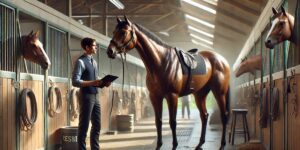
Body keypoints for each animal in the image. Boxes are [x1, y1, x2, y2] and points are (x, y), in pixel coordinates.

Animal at [106, 16, 231, 149]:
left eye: (123, 32)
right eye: (113, 32)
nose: (110, 51)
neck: (161, 62)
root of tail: (222, 60)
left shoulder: (172, 96)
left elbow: (172, 122)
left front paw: (174, 145)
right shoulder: (155, 97)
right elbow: (158, 121)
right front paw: (158, 145)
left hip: (219, 92)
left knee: (224, 115)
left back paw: (222, 144)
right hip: (200, 94)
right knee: (204, 115)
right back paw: (200, 144)